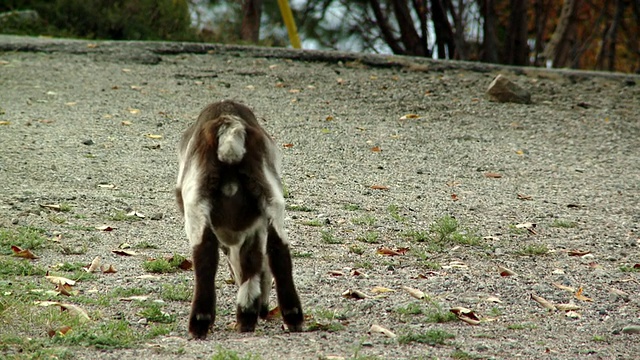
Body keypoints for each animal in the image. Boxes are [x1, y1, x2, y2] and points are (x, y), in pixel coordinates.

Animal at [175, 100, 304, 338]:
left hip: (195, 199)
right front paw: (248, 314)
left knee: (205, 253)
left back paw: (200, 321)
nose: (264, 310)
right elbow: (253, 261)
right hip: (270, 195)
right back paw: (290, 315)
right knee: (278, 250)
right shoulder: (256, 226)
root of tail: (229, 125)